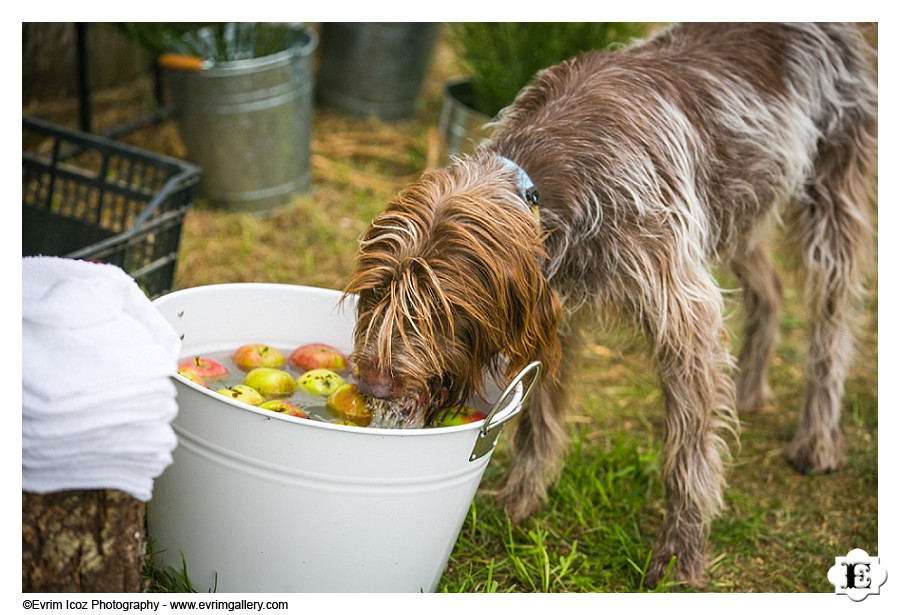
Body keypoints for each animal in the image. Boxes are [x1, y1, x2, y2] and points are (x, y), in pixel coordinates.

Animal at [342, 21, 876, 584]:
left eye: (439, 310)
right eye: (374, 293)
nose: (374, 383)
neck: (541, 183)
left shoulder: (685, 315)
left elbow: (687, 453)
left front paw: (681, 553)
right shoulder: (555, 313)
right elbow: (537, 422)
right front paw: (519, 501)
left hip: (830, 198)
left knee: (831, 327)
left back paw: (817, 436)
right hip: (739, 205)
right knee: (770, 290)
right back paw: (751, 390)